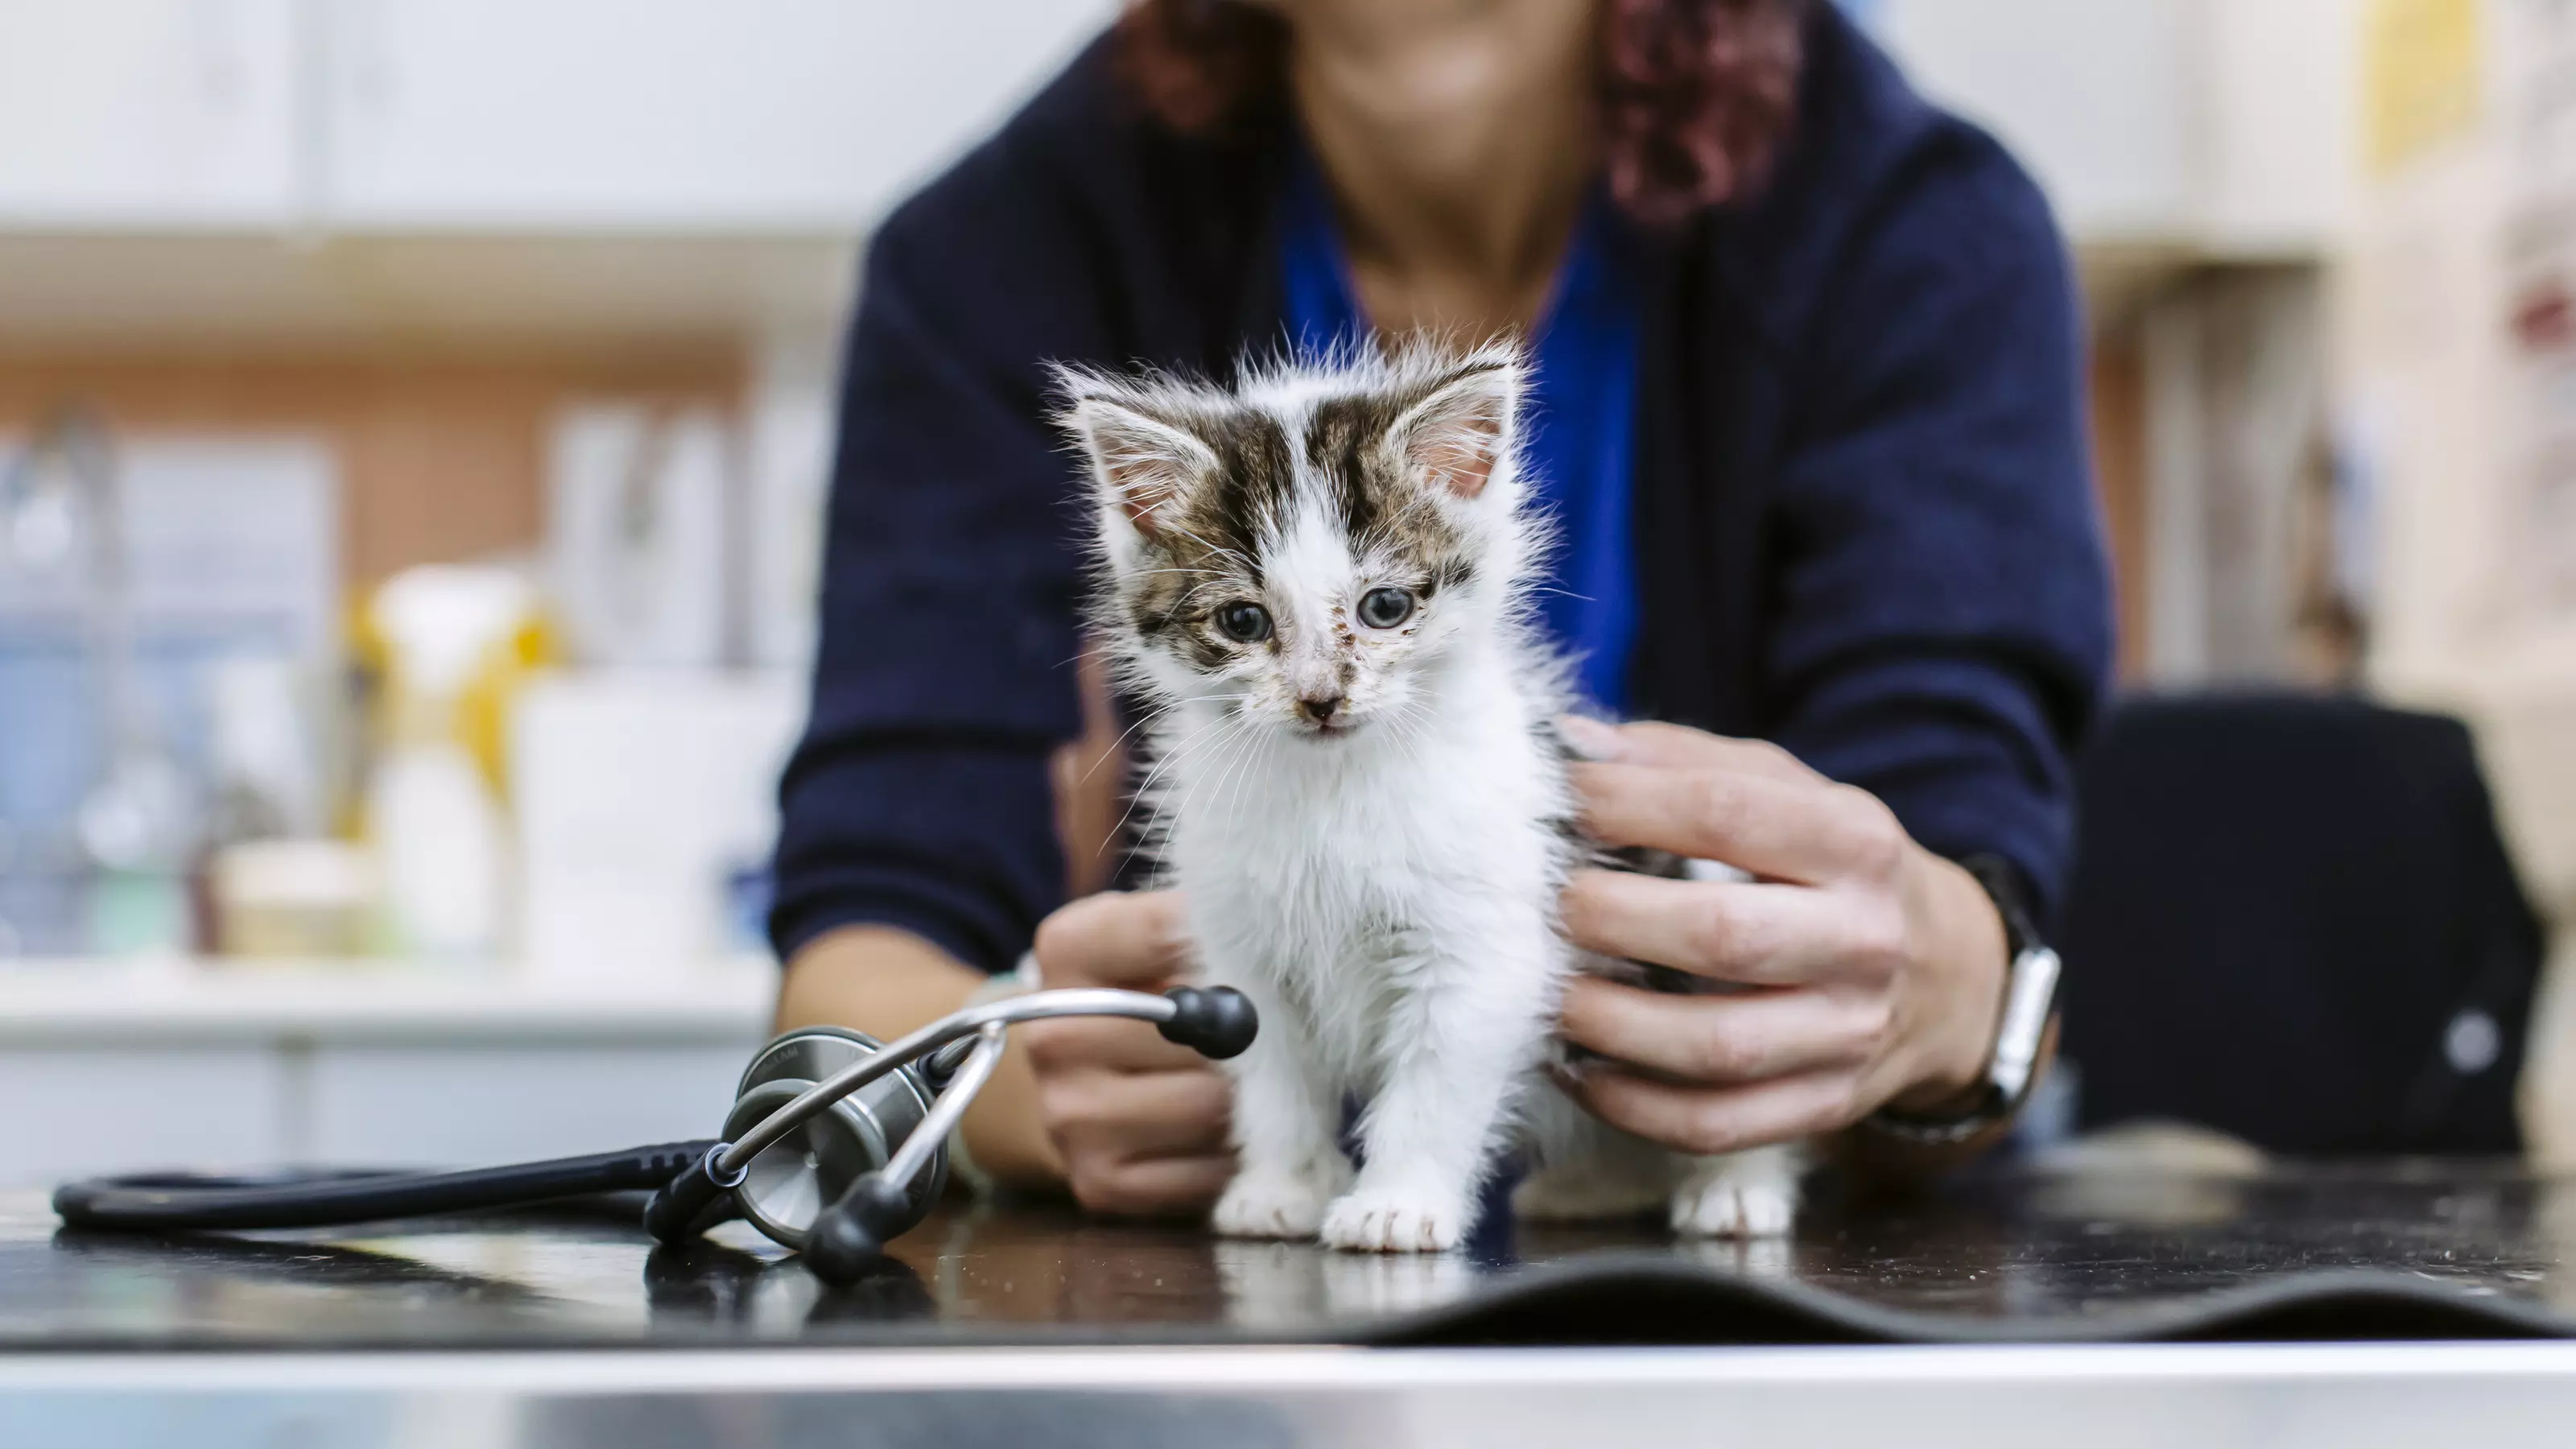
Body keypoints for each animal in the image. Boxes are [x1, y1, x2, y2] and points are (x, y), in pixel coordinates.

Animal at [1056, 342, 1803, 1248]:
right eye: (1241, 622)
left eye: (1384, 607)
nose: (1320, 699)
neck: (1333, 786)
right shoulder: (1244, 948)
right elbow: (1272, 1073)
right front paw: (1283, 1185)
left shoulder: (1482, 943)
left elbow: (1435, 1085)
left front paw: (1397, 1203)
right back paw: (1589, 1188)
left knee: (1737, 1108)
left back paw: (1736, 1190)